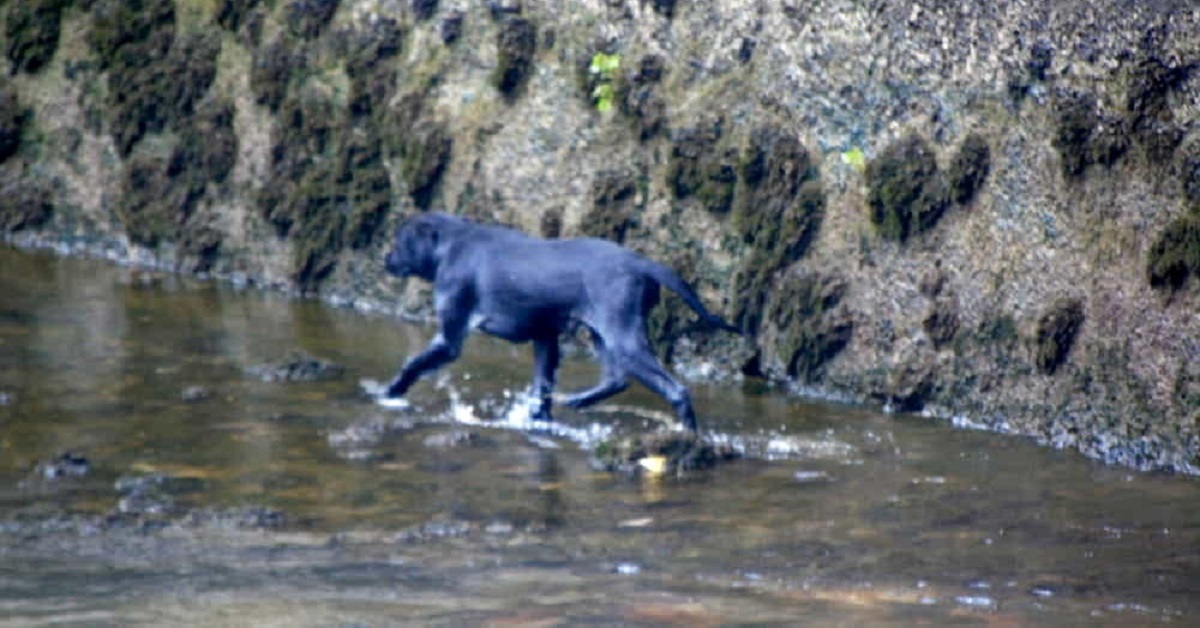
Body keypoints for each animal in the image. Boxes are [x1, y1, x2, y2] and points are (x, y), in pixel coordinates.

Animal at [384, 212, 739, 432]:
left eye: (399, 241)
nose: (384, 258)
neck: (452, 244)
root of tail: (643, 263)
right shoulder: (546, 337)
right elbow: (542, 386)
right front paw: (538, 418)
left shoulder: (450, 337)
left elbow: (413, 364)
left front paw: (390, 392)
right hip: (603, 335)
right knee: (616, 379)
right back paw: (578, 401)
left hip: (622, 336)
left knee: (675, 390)